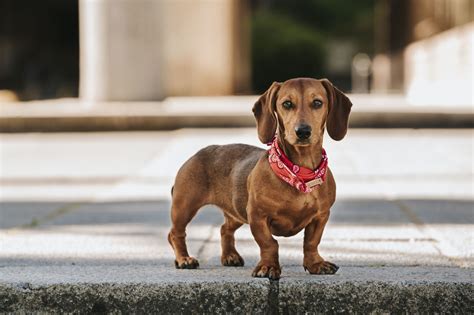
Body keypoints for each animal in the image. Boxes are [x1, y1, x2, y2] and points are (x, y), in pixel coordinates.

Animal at [168, 78, 350, 280]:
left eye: (317, 103)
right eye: (287, 104)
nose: (303, 131)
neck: (300, 173)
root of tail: (196, 154)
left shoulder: (321, 216)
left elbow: (311, 242)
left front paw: (316, 264)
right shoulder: (257, 215)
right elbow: (269, 243)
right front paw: (268, 267)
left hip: (236, 211)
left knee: (224, 229)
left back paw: (230, 256)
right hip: (184, 206)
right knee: (175, 233)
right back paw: (184, 259)